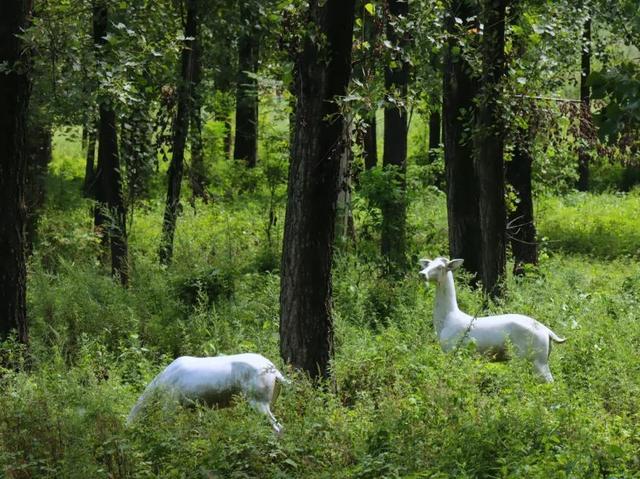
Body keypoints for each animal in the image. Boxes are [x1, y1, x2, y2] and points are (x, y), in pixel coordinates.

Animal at [125, 352, 290, 436]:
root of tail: (275, 371)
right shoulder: (197, 408)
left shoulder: (170, 405)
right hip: (269, 401)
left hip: (258, 402)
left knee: (278, 427)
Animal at [420, 258, 564, 382]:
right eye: (428, 264)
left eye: (440, 267)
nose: (422, 274)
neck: (446, 321)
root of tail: (548, 333)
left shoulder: (451, 350)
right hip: (540, 358)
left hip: (536, 359)